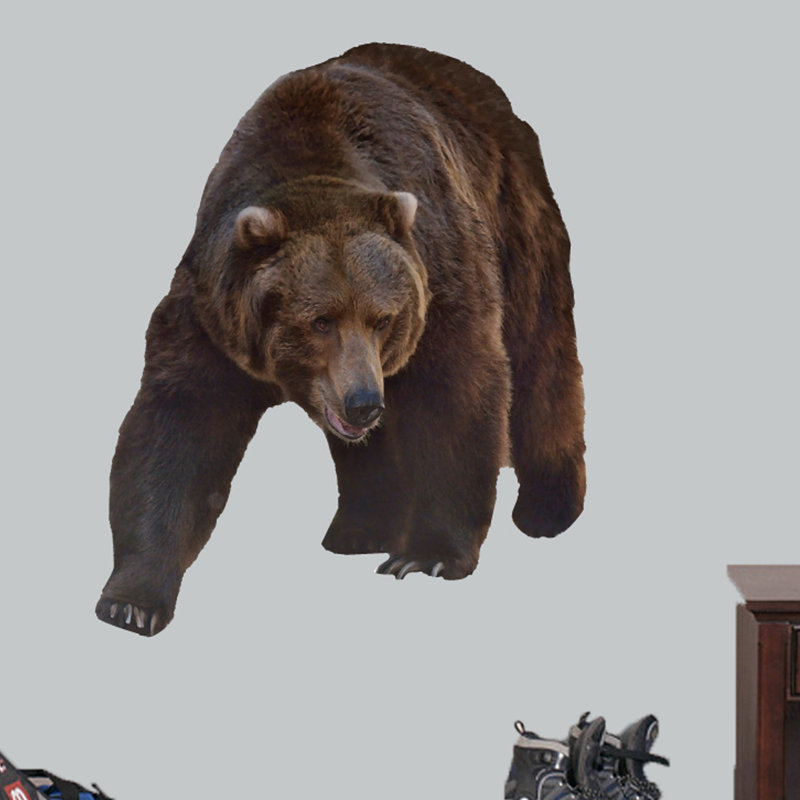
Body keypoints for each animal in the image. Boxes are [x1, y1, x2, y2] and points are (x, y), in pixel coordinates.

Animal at [96, 43, 585, 636]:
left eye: (383, 318)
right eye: (320, 320)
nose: (365, 402)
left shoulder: (440, 276)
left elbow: (456, 393)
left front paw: (427, 555)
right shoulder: (213, 318)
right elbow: (177, 428)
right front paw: (132, 600)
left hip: (516, 226)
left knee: (540, 363)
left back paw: (547, 507)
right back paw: (357, 528)